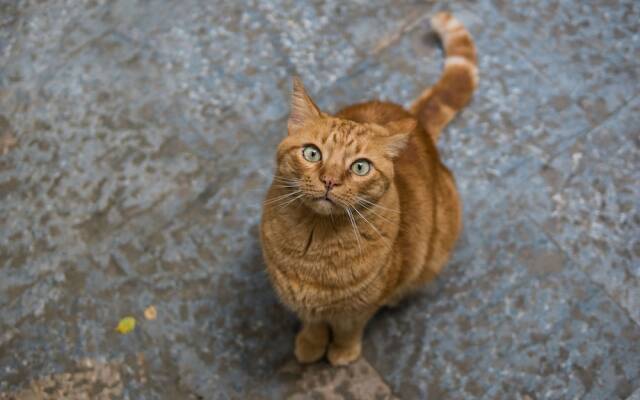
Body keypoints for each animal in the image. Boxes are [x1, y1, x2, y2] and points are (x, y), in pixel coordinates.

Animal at [258, 12, 476, 364]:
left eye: (360, 167)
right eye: (312, 153)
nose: (330, 180)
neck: (316, 243)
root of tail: (411, 118)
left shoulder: (361, 307)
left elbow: (349, 328)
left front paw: (342, 353)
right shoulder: (298, 297)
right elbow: (313, 323)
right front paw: (311, 344)